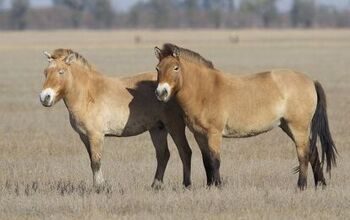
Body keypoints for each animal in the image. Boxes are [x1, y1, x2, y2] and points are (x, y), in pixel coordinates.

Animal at [40, 49, 193, 188]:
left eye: (61, 72)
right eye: (45, 72)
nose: (44, 97)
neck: (87, 94)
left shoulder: (96, 136)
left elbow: (96, 162)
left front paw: (99, 187)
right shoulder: (84, 137)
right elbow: (92, 161)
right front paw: (101, 185)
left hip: (174, 126)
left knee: (185, 152)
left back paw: (186, 184)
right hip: (157, 129)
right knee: (163, 155)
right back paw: (156, 185)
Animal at [154, 43, 338, 191]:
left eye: (176, 67)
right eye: (158, 68)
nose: (161, 93)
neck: (205, 89)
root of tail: (311, 81)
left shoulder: (214, 134)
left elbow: (215, 161)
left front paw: (217, 187)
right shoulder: (199, 135)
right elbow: (207, 161)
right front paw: (209, 186)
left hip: (298, 127)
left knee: (303, 155)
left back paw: (301, 186)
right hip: (288, 126)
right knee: (312, 152)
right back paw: (320, 185)